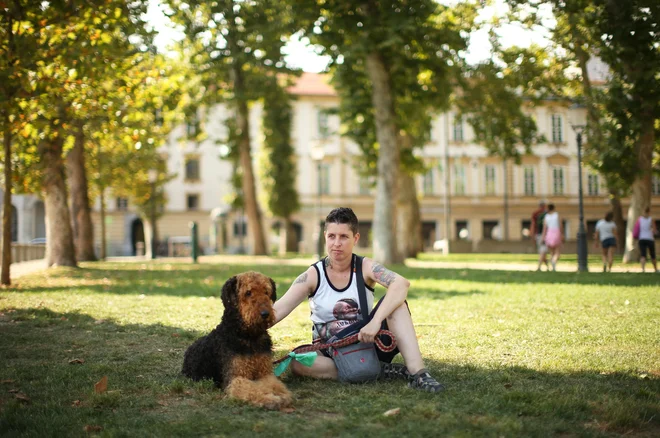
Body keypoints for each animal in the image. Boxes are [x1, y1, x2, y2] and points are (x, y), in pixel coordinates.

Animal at [182, 272, 292, 408]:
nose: (265, 314)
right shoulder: (236, 377)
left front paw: (282, 395)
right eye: (248, 292)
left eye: (266, 292)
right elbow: (251, 390)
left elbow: (274, 385)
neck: (249, 337)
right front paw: (269, 399)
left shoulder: (265, 373)